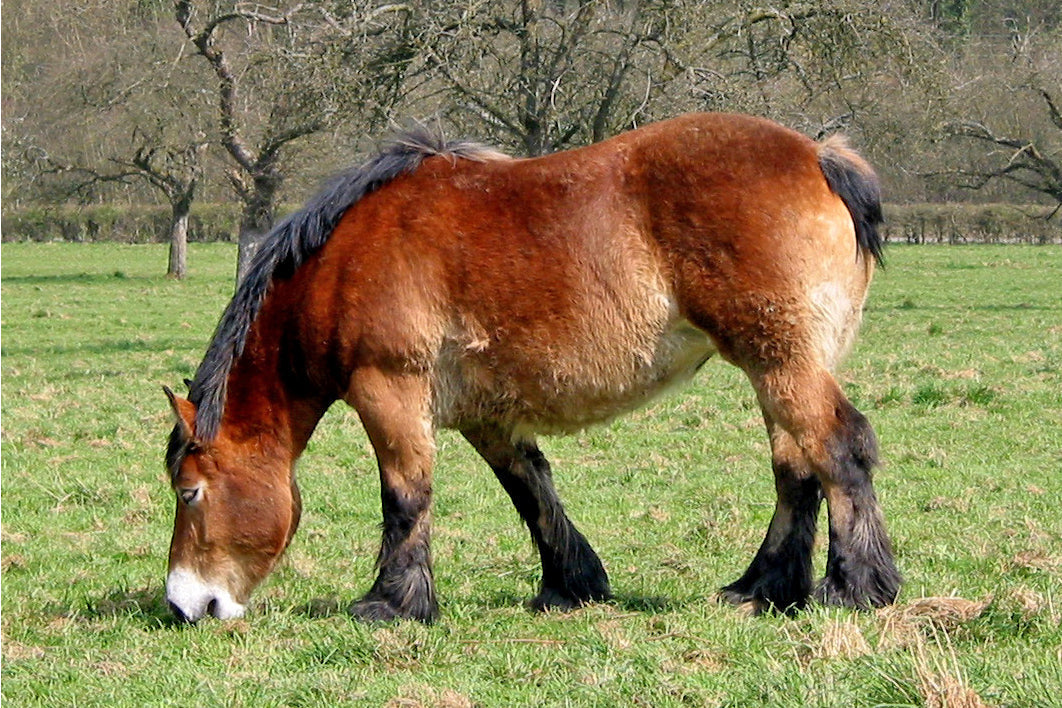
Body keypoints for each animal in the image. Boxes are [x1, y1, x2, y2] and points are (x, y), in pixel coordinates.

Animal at [161, 111, 900, 624]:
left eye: (189, 492)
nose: (183, 605)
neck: (342, 260)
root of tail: (819, 155)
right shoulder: (485, 415)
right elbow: (532, 492)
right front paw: (571, 586)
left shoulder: (388, 392)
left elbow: (405, 496)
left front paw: (392, 603)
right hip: (778, 367)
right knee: (796, 467)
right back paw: (762, 588)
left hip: (780, 363)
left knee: (838, 447)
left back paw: (853, 587)